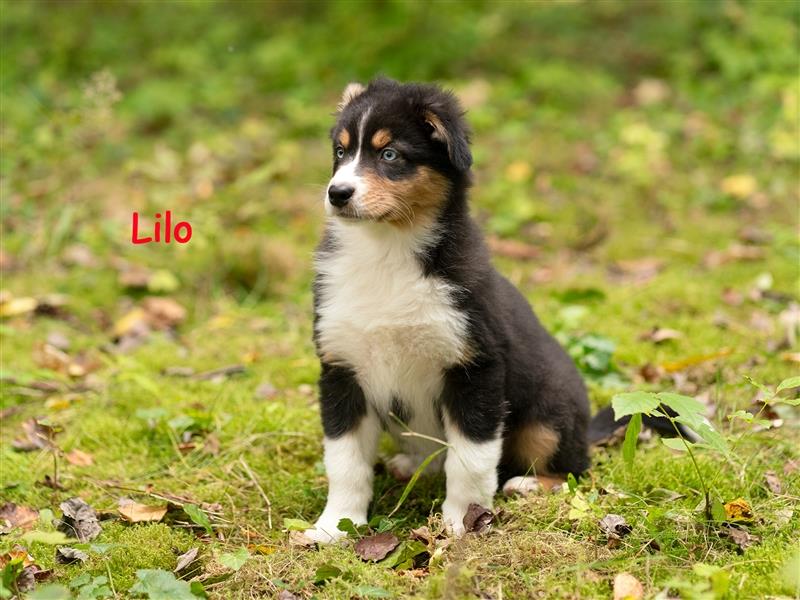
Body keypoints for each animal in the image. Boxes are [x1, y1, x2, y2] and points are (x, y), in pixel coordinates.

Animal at [310, 78, 592, 544]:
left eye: (390, 155)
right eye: (339, 151)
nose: (336, 193)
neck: (386, 252)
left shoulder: (475, 369)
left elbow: (471, 460)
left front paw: (463, 522)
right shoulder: (341, 370)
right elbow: (345, 462)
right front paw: (335, 526)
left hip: (549, 412)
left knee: (574, 469)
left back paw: (530, 484)